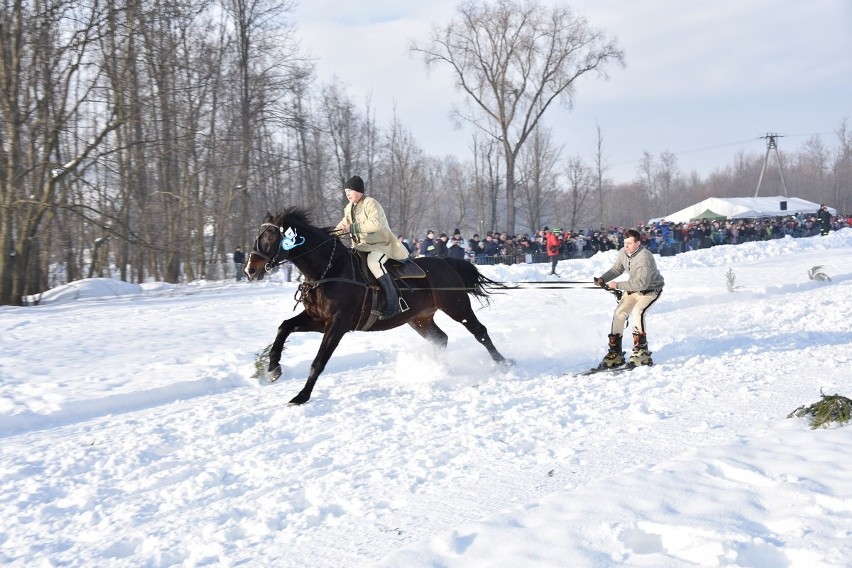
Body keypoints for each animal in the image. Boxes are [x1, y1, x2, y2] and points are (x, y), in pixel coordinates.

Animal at [246, 207, 512, 404]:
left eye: (270, 236)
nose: (250, 269)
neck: (329, 270)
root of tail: (447, 261)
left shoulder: (338, 324)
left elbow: (318, 361)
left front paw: (301, 396)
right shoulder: (319, 320)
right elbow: (284, 326)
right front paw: (273, 368)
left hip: (457, 307)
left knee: (480, 332)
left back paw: (504, 363)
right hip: (419, 318)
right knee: (441, 338)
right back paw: (438, 370)